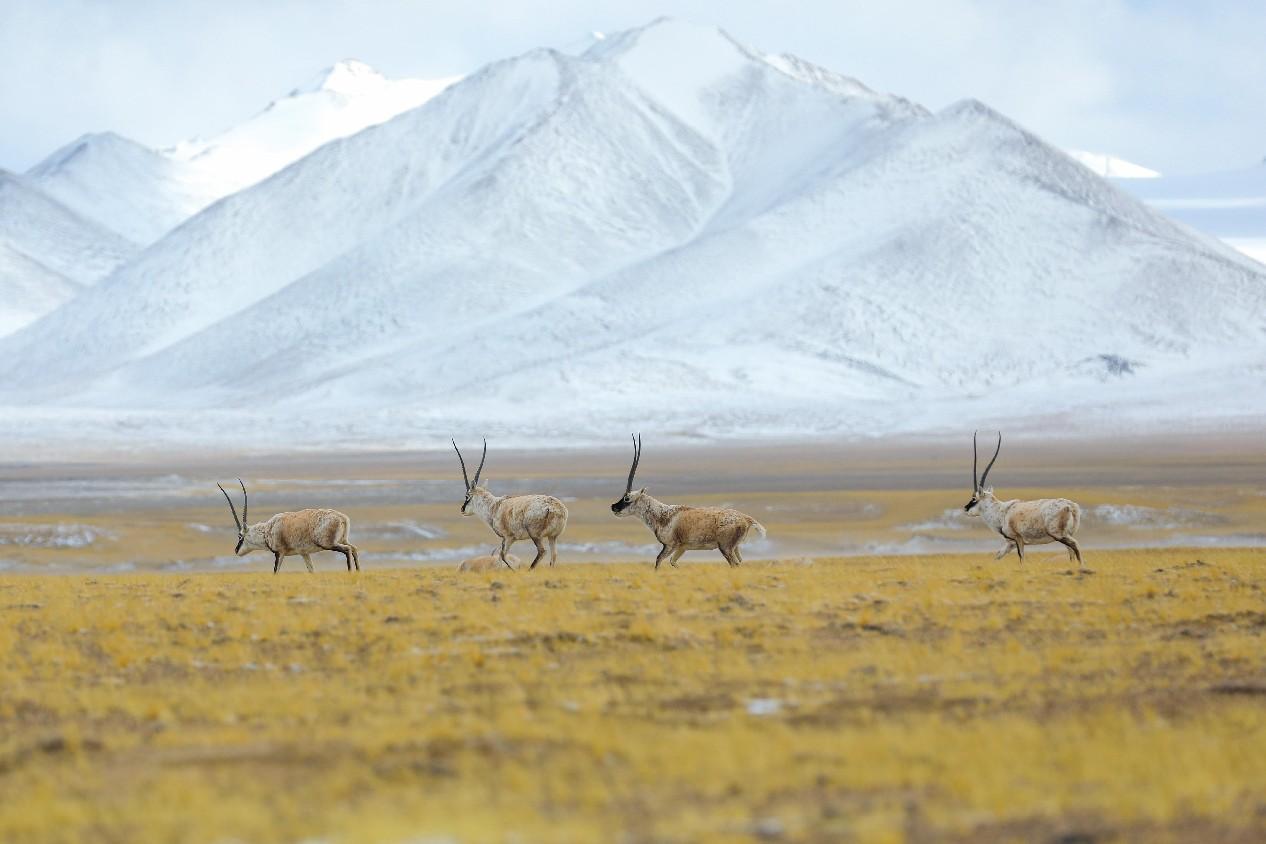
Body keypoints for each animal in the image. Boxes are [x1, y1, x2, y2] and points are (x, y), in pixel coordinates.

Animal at [217, 480, 362, 574]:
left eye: (240, 536)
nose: (236, 550)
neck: (267, 530)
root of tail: (342, 517)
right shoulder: (304, 553)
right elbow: (311, 571)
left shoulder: (280, 553)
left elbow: (276, 572)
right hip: (342, 540)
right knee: (354, 548)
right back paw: (358, 572)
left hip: (329, 544)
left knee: (348, 550)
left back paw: (350, 573)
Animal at [455, 440, 569, 571]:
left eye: (467, 496)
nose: (462, 509)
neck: (494, 506)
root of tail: (556, 508)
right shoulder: (505, 539)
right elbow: (501, 556)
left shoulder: (509, 537)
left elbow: (502, 556)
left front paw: (512, 570)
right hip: (553, 536)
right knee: (554, 555)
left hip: (535, 536)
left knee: (542, 551)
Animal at [610, 432, 764, 571]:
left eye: (627, 498)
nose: (613, 507)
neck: (663, 515)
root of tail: (746, 518)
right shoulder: (682, 548)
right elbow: (673, 562)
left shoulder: (670, 545)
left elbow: (658, 560)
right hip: (734, 548)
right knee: (739, 563)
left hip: (725, 548)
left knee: (734, 564)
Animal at [962, 435, 1083, 566]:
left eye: (974, 499)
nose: (965, 508)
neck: (1001, 512)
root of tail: (1071, 506)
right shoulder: (1010, 543)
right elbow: (998, 555)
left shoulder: (1018, 538)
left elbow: (1021, 557)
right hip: (1066, 535)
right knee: (1071, 552)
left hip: (1058, 534)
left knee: (1075, 545)